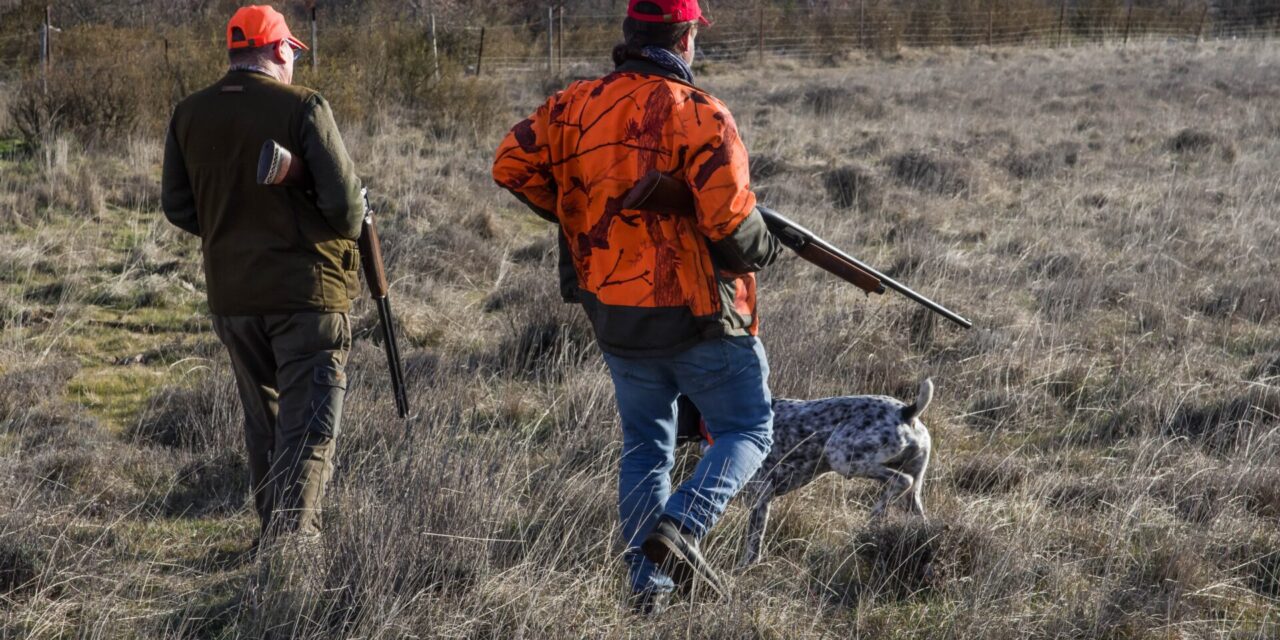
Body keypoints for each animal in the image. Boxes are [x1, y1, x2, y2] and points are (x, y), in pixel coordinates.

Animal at [680, 376, 931, 568]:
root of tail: (906, 412)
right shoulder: (763, 500)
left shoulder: (759, 495)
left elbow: (753, 544)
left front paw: (742, 569)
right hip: (914, 492)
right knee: (917, 509)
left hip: (841, 456)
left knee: (901, 481)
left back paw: (874, 515)